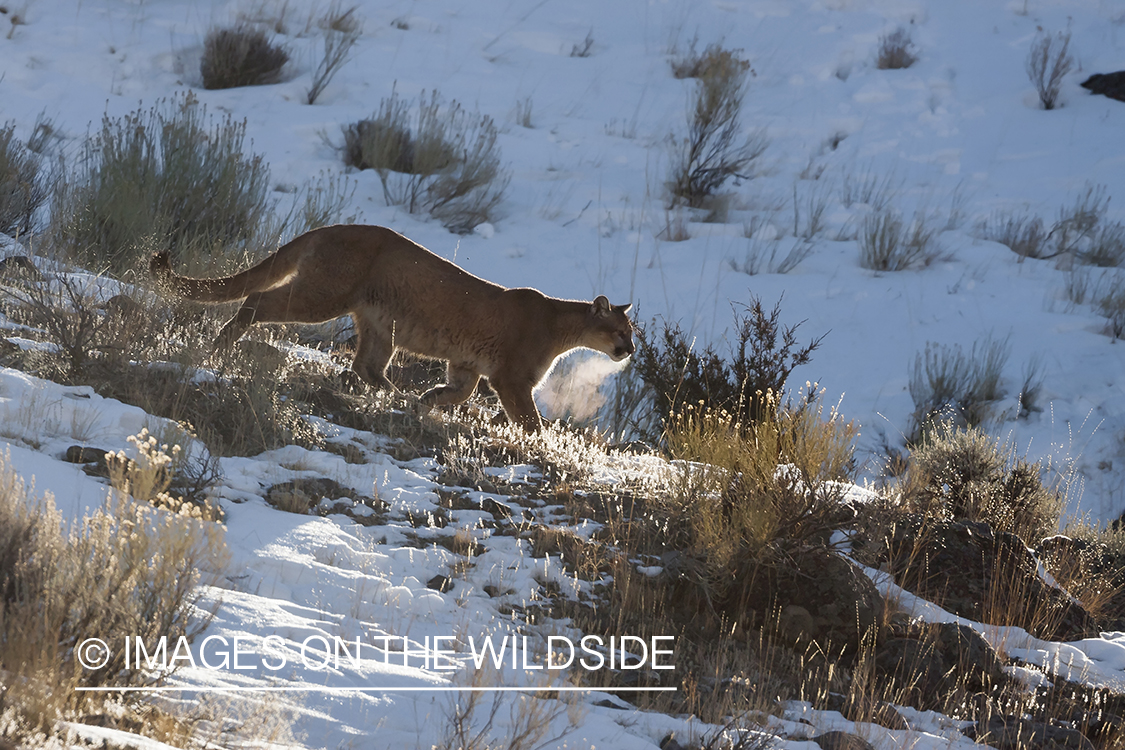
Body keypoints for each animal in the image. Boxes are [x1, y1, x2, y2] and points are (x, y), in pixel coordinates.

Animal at [150, 222, 639, 431]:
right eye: (620, 331)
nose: (630, 350)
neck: (561, 325)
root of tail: (327, 226)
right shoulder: (511, 379)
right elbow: (530, 421)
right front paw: (543, 443)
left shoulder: (467, 366)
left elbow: (458, 391)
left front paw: (429, 400)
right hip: (323, 296)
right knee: (256, 300)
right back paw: (221, 346)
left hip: (378, 324)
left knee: (366, 366)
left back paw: (397, 396)